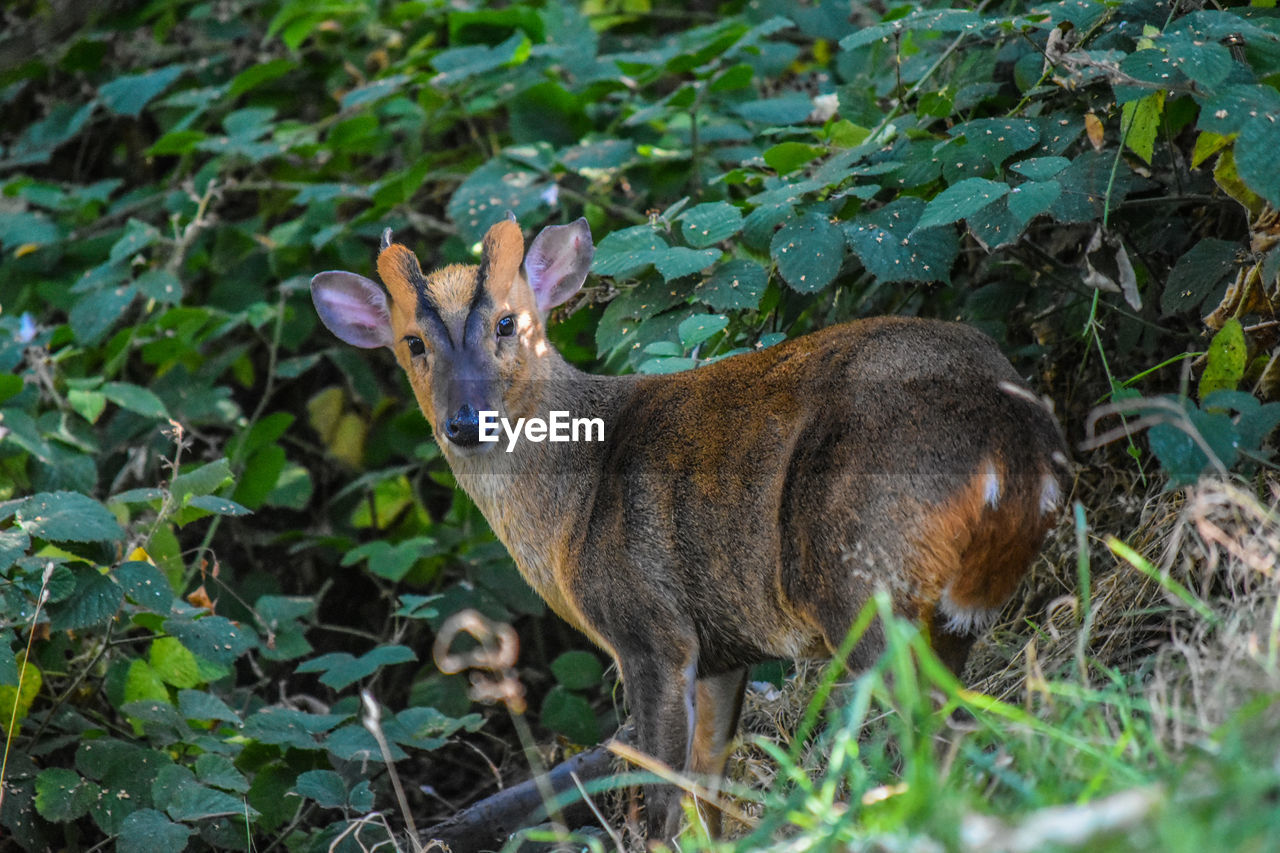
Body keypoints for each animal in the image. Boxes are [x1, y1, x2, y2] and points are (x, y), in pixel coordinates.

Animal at [309, 216, 1070, 840]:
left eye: (506, 323)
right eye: (413, 342)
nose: (466, 422)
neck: (570, 509)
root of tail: (1015, 431)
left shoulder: (651, 626)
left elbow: (660, 797)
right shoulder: (723, 648)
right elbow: (707, 787)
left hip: (862, 573)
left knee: (924, 726)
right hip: (954, 606)